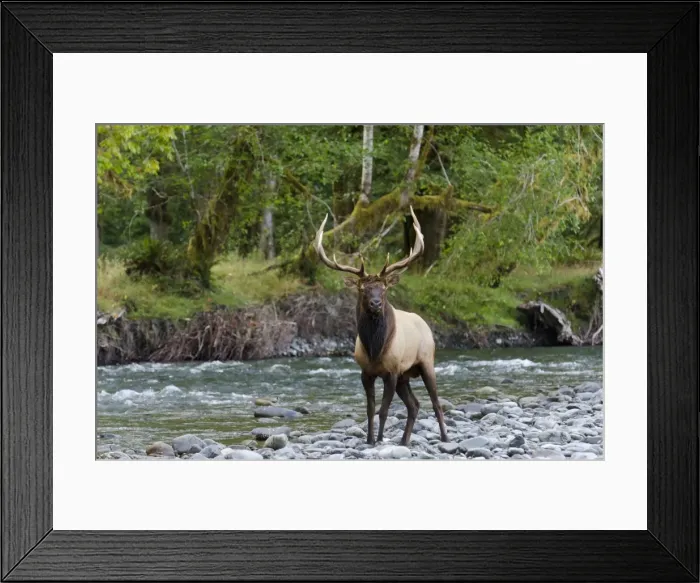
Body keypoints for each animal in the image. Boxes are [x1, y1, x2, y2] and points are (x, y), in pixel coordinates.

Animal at [314, 206, 449, 447]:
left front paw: (379, 439)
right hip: (405, 375)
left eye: (384, 288)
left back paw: (444, 437)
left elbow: (384, 410)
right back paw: (404, 441)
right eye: (362, 289)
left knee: (435, 402)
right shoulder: (366, 372)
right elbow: (370, 409)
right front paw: (369, 440)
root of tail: (425, 324)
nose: (376, 303)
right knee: (414, 404)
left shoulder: (392, 371)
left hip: (426, 361)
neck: (375, 349)